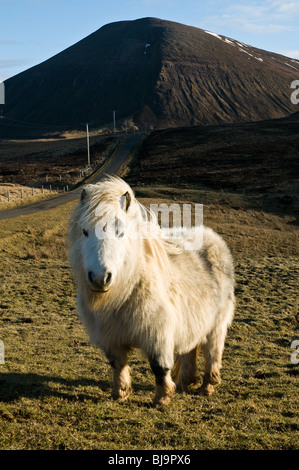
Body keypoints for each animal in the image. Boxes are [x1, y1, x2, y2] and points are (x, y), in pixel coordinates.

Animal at [69, 178, 236, 406]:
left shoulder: (158, 334)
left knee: (213, 354)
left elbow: (159, 367)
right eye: (85, 232)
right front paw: (120, 393)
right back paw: (185, 383)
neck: (123, 293)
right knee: (189, 351)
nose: (100, 278)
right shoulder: (110, 337)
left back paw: (207, 386)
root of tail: (214, 239)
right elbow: (118, 365)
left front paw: (161, 398)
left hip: (216, 327)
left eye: (120, 232)